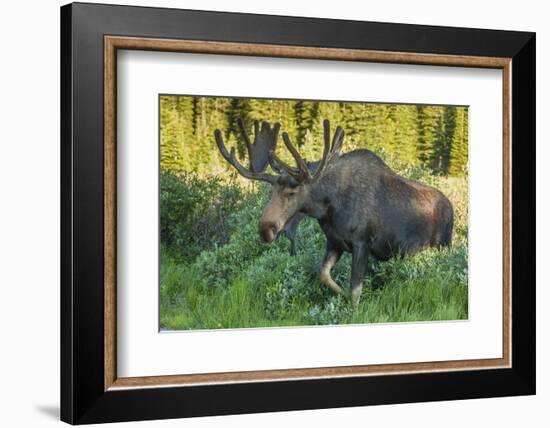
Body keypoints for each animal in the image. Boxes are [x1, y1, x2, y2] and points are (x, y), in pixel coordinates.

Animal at [216, 117, 458, 308]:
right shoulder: (334, 242)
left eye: (292, 193)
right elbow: (323, 274)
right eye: (271, 191)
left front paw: (353, 309)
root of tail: (453, 208)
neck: (328, 208)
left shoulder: (362, 243)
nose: (265, 230)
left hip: (442, 245)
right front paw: (340, 294)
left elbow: (355, 290)